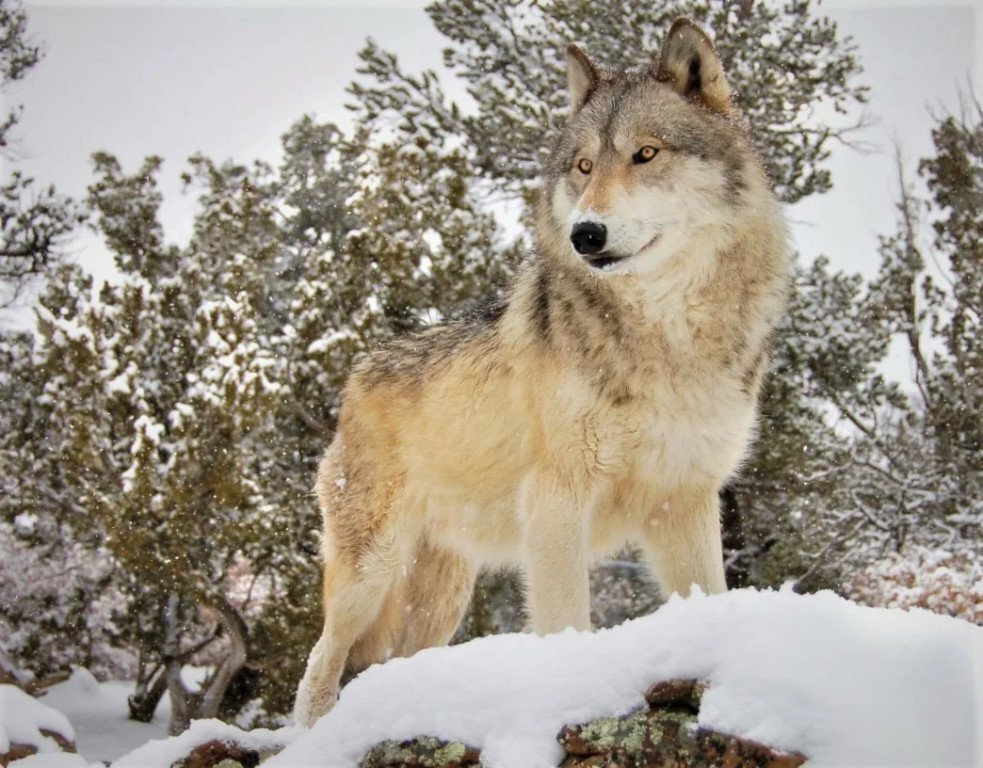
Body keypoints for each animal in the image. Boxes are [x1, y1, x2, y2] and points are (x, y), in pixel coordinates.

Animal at [292, 16, 792, 728]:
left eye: (645, 154)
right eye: (583, 166)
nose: (586, 233)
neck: (667, 335)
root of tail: (354, 377)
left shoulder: (687, 502)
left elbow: (708, 595)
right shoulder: (557, 502)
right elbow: (565, 623)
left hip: (443, 595)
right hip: (369, 575)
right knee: (319, 665)